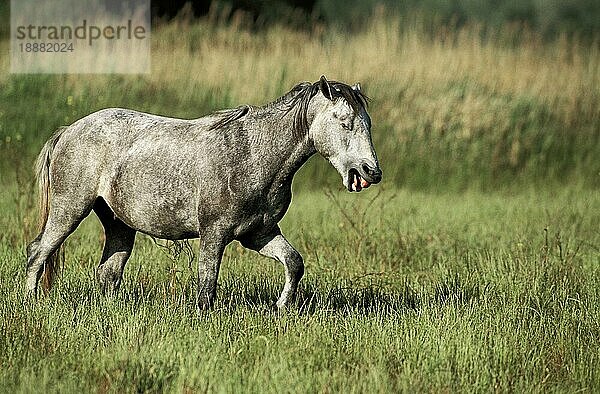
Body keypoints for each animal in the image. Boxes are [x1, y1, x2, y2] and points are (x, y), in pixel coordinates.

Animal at [25, 75, 382, 310]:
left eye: (368, 123)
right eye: (344, 121)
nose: (371, 172)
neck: (252, 153)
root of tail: (68, 130)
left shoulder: (259, 234)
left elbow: (294, 263)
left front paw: (281, 307)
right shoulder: (214, 233)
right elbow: (207, 286)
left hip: (118, 223)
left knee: (108, 272)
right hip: (70, 209)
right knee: (38, 253)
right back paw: (30, 304)